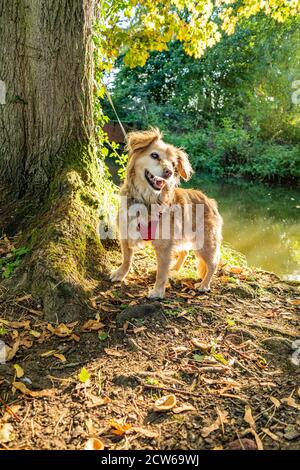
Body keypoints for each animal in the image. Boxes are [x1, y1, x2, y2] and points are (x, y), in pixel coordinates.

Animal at [110, 129, 223, 298]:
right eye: (154, 155)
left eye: (173, 164)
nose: (169, 172)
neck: (147, 199)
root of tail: (210, 201)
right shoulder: (125, 231)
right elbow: (126, 258)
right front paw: (120, 273)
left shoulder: (164, 245)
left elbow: (161, 272)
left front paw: (158, 291)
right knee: (184, 252)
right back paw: (175, 269)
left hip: (204, 243)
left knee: (213, 263)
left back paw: (204, 284)